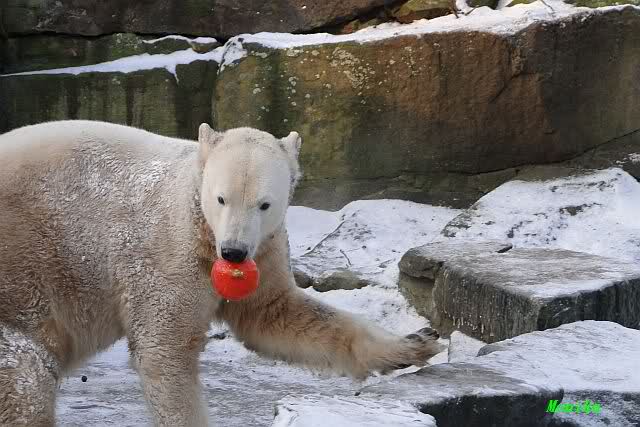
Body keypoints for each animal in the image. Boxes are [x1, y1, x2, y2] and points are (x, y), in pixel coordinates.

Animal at [0, 120, 443, 426]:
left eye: (264, 203)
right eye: (221, 198)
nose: (233, 252)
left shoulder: (263, 248)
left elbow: (276, 314)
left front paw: (418, 342)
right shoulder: (168, 253)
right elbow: (166, 352)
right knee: (24, 381)